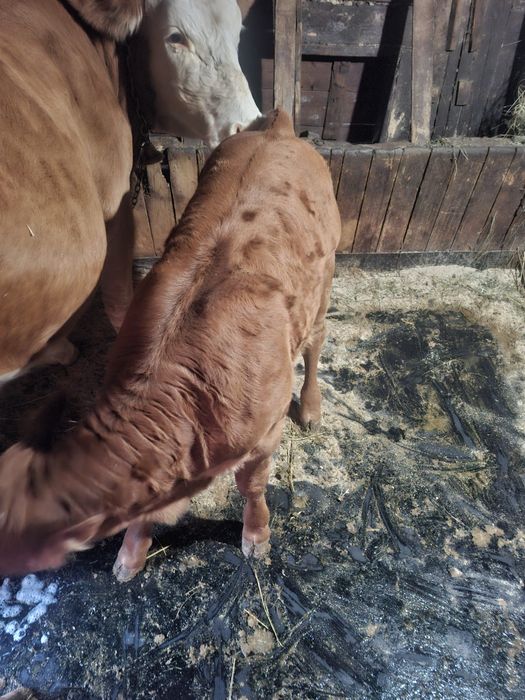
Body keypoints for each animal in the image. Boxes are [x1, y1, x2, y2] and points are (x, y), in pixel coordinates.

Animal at [0, 109, 341, 580]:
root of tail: (278, 131)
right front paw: (132, 552)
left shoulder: (265, 435)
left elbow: (251, 486)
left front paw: (256, 535)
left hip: (324, 273)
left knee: (315, 340)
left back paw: (309, 408)